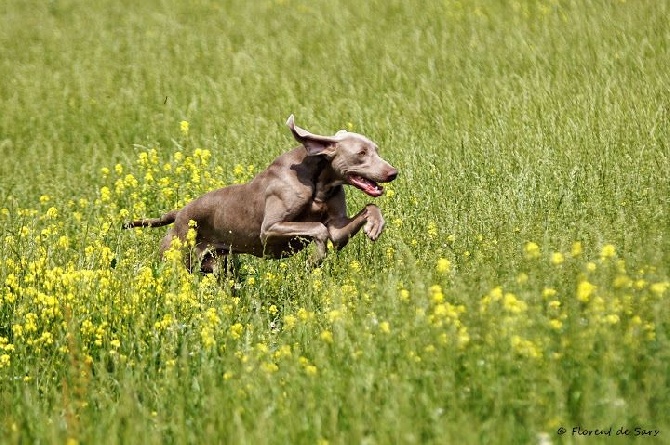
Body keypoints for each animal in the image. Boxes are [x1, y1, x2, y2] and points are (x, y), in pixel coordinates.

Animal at [122, 114, 396, 270]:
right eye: (361, 153)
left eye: (376, 149)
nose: (393, 173)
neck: (319, 181)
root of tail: (179, 213)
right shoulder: (270, 229)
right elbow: (318, 229)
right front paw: (315, 258)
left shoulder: (337, 228)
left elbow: (361, 213)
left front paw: (375, 225)